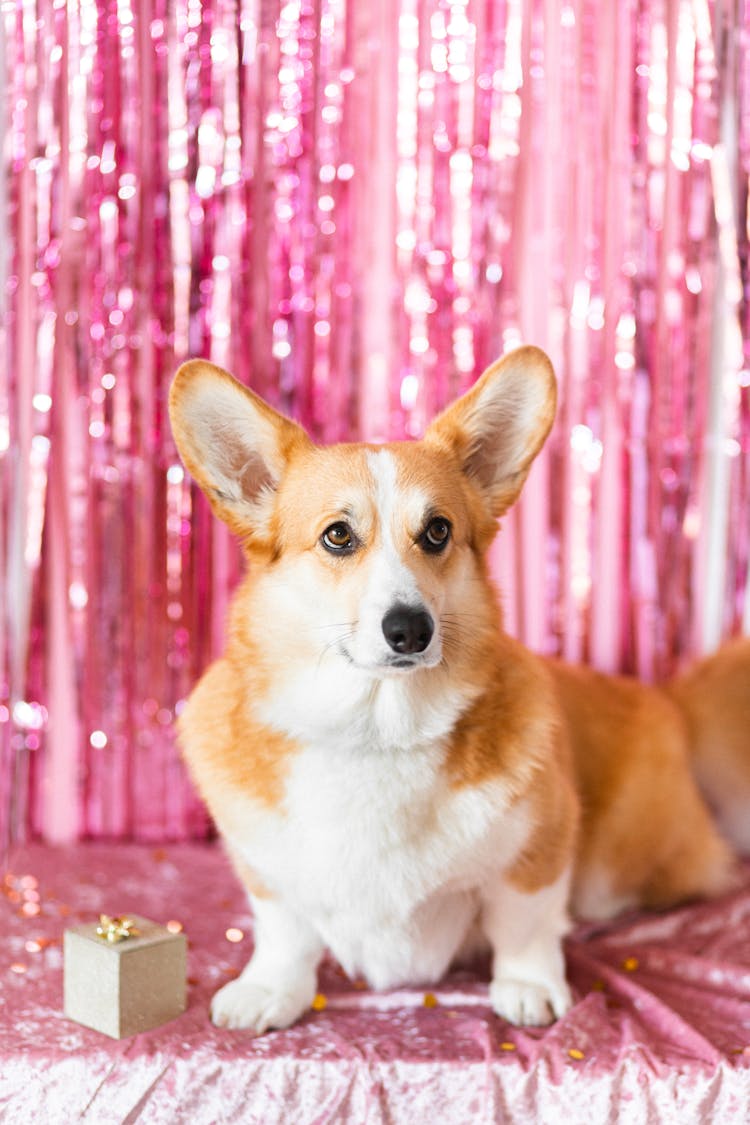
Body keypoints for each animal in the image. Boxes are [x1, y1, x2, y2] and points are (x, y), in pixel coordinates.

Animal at [169, 346, 746, 1030]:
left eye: (438, 531)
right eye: (338, 535)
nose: (410, 629)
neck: (378, 732)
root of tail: (669, 702)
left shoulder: (541, 846)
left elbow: (525, 921)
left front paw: (528, 983)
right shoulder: (267, 873)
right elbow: (284, 931)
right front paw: (268, 988)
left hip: (622, 861)